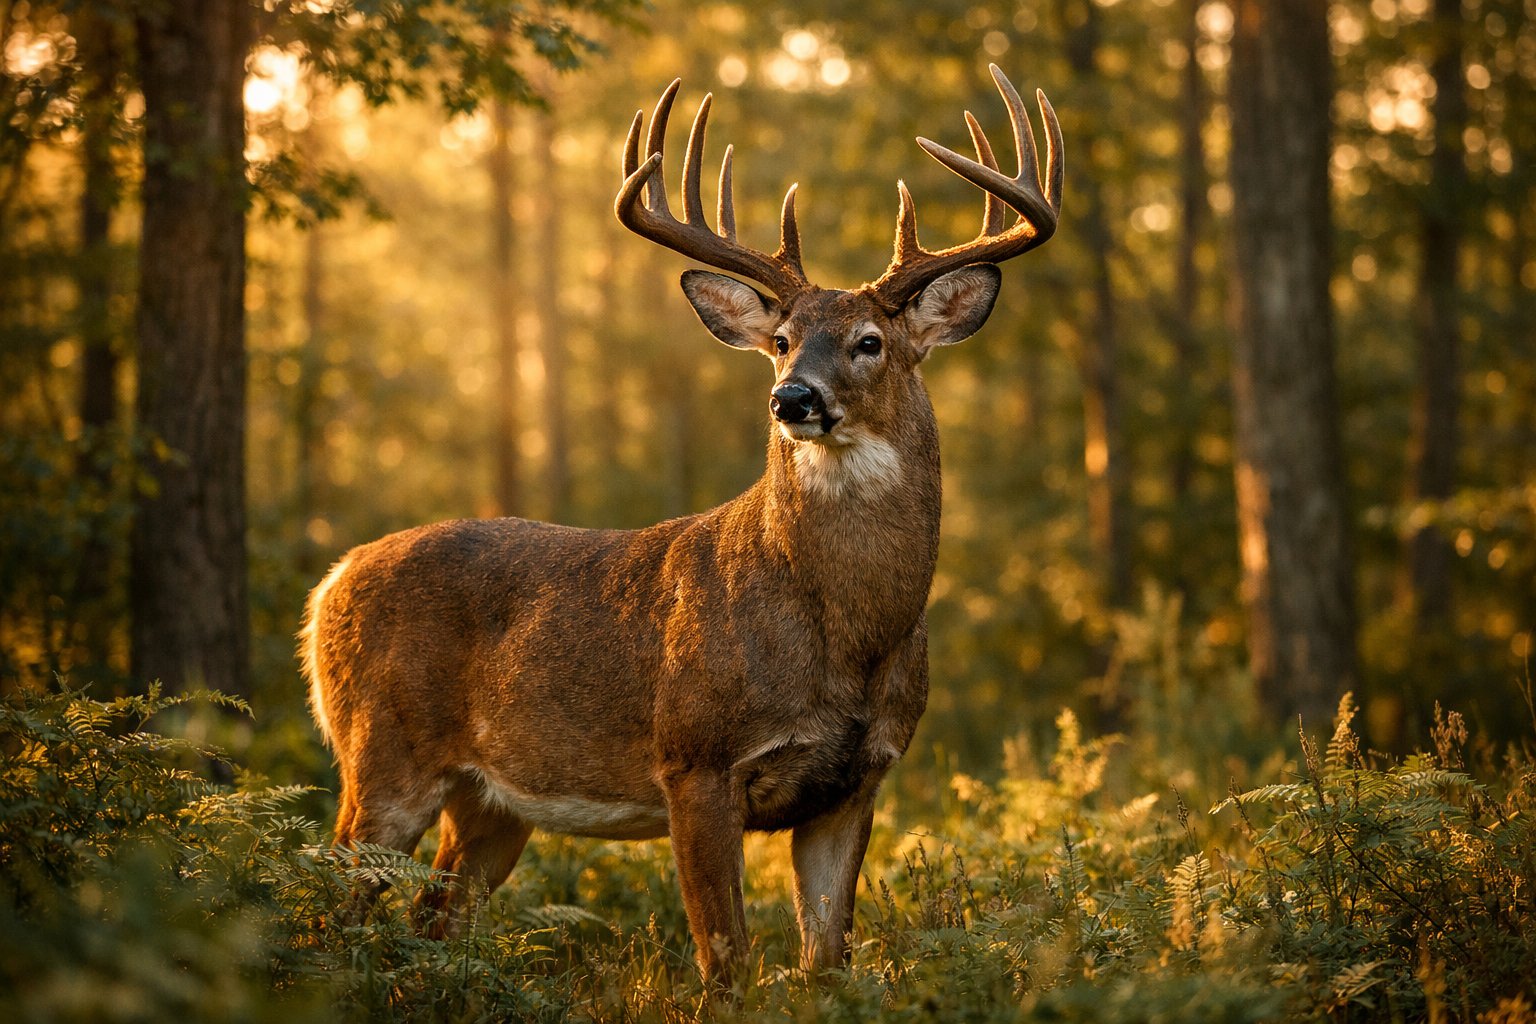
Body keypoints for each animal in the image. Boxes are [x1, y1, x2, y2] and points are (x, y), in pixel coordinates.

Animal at [300, 64, 1062, 986]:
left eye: (870, 341)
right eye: (781, 339)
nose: (791, 399)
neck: (846, 637)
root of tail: (330, 585)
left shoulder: (860, 779)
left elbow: (827, 960)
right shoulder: (693, 758)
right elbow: (726, 964)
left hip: (491, 802)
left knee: (433, 918)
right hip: (381, 752)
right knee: (328, 905)